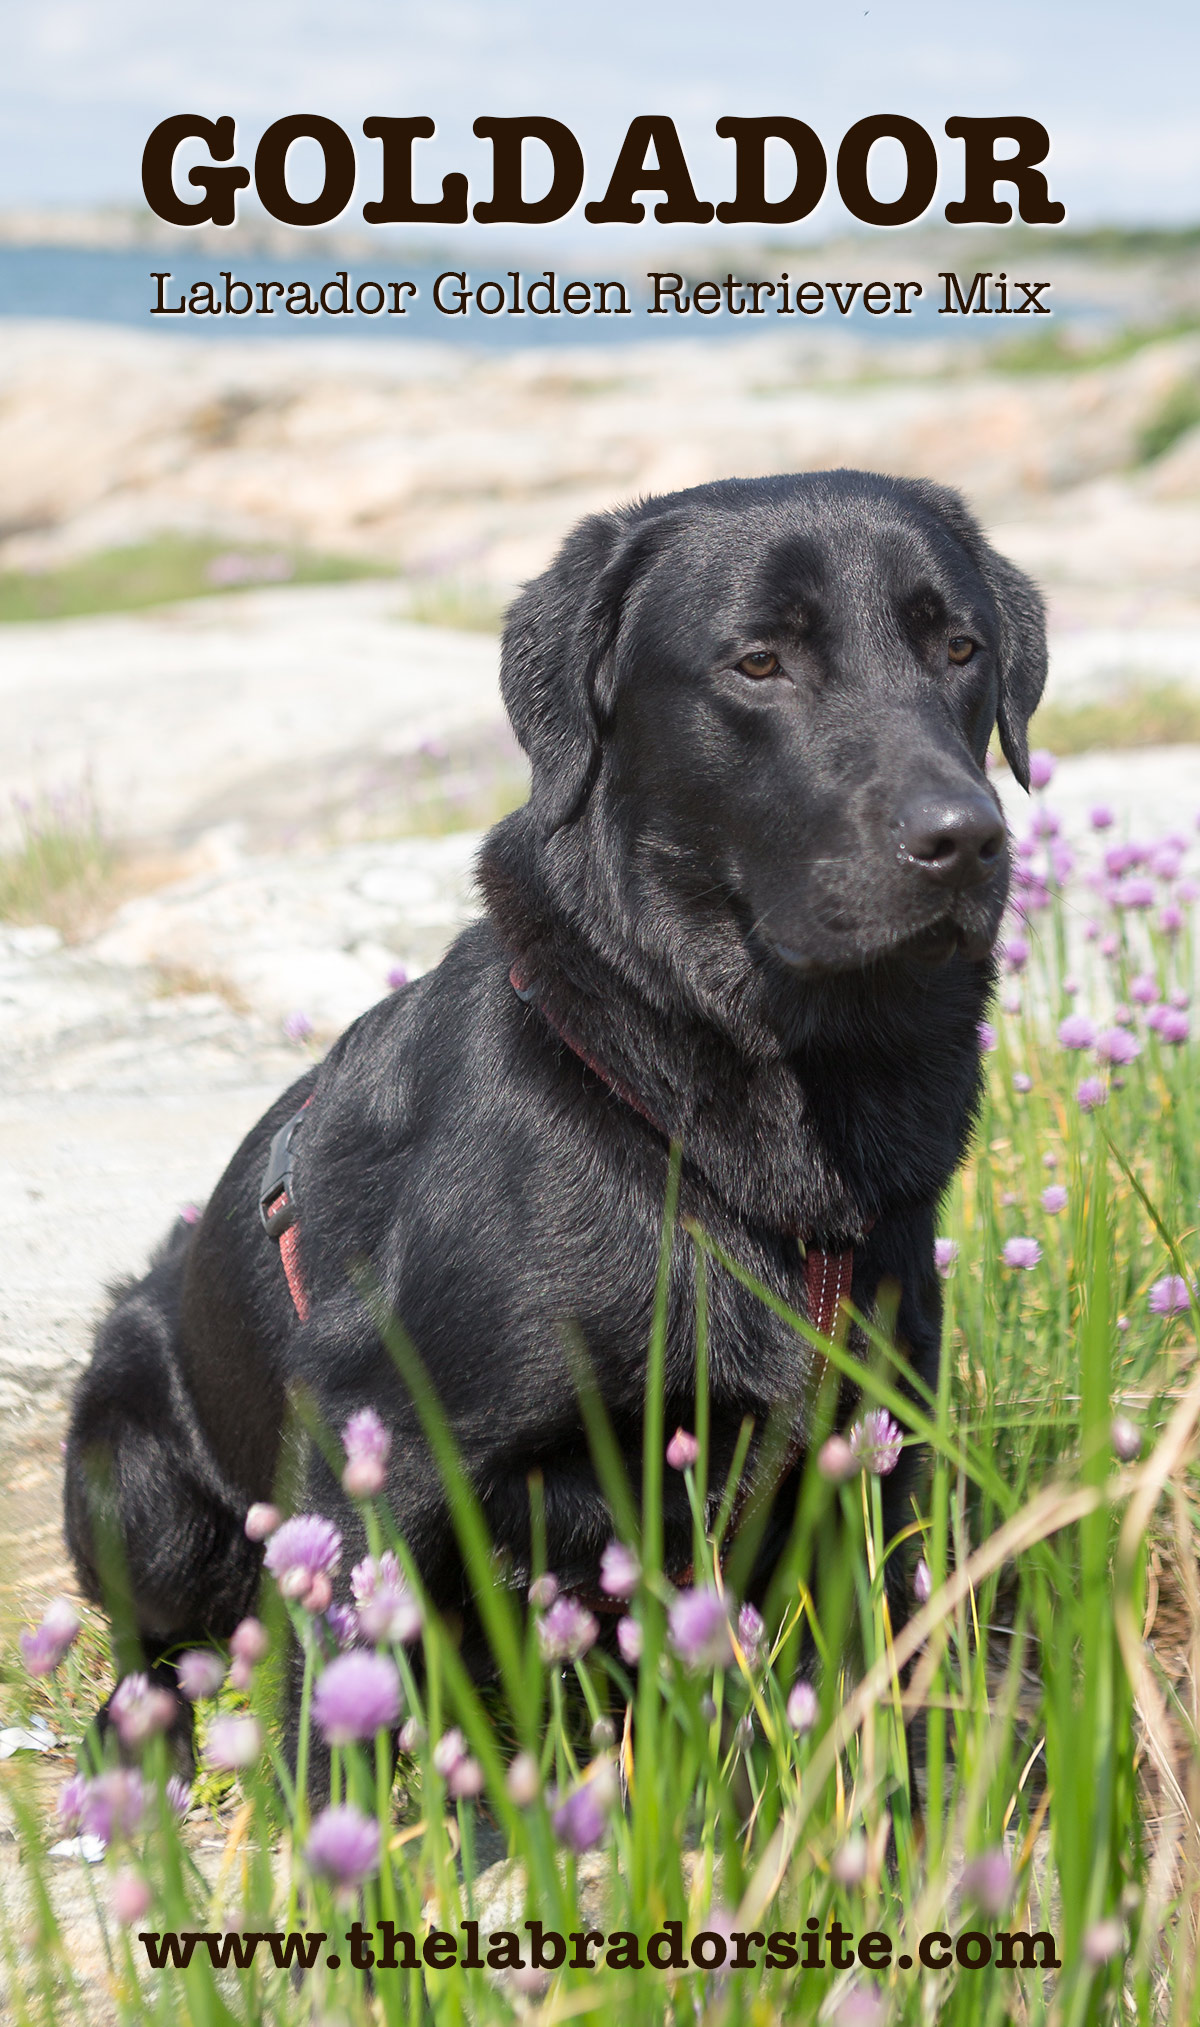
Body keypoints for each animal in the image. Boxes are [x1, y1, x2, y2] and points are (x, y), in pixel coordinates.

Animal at [63, 464, 1037, 1743]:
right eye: (760, 662)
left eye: (961, 647)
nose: (965, 837)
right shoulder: (375, 1440)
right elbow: (334, 1713)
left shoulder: (873, 1442)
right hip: (138, 1476)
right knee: (155, 1651)